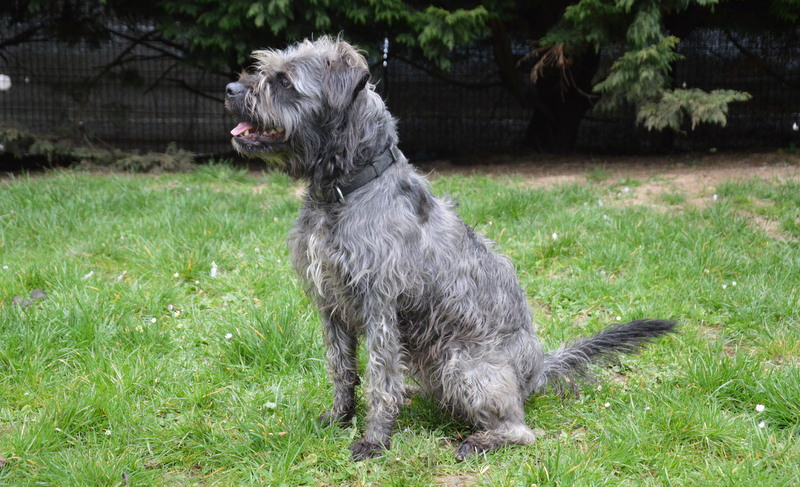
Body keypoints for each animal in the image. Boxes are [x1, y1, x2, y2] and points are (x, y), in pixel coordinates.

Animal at [225, 36, 676, 461]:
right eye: (263, 68)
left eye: (285, 82)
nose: (230, 89)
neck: (346, 190)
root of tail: (538, 368)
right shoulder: (331, 305)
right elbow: (342, 369)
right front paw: (339, 418)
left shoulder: (379, 308)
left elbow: (380, 379)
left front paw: (375, 440)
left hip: (462, 363)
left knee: (521, 429)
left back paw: (481, 440)